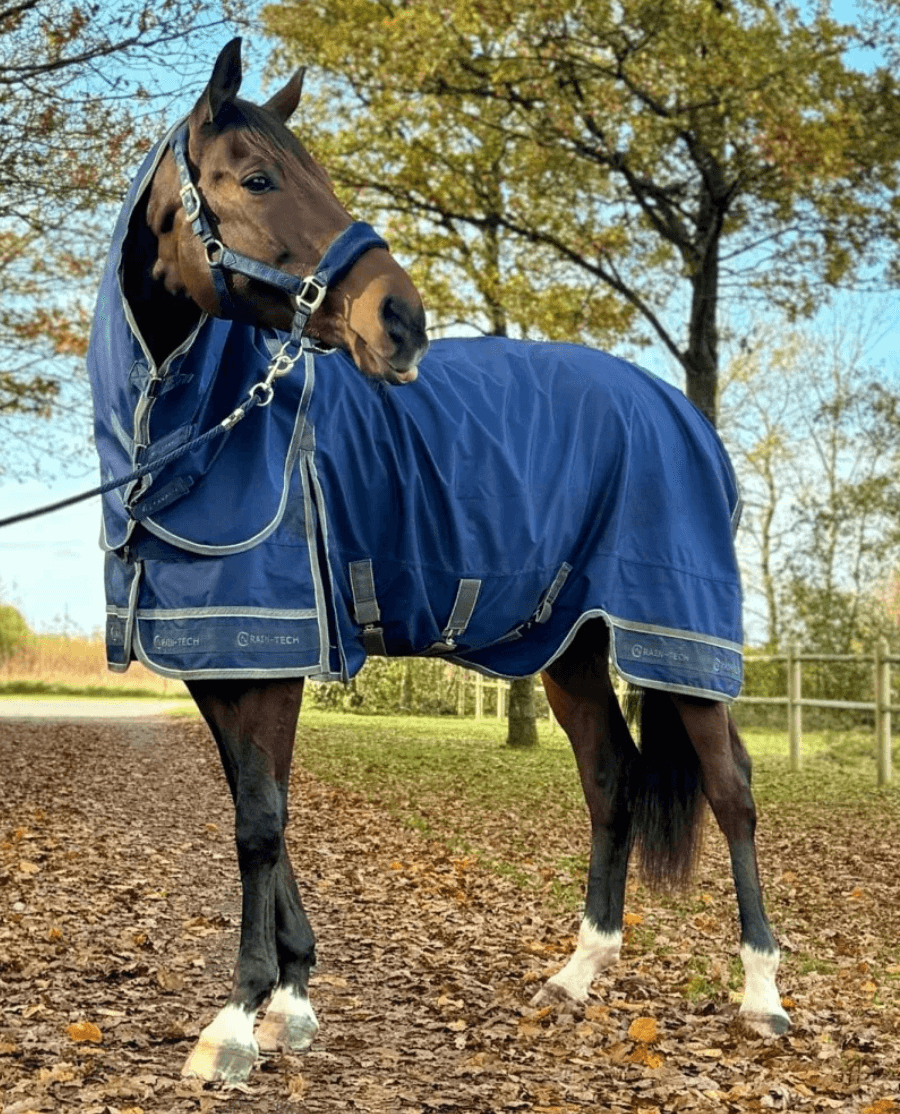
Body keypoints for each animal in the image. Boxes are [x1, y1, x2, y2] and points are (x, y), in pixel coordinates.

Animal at [86, 38, 790, 1085]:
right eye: (257, 179)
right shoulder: (224, 657)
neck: (194, 438)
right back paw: (576, 976)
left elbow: (260, 824)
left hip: (679, 642)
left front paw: (237, 1024)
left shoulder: (275, 651)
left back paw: (762, 997)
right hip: (575, 646)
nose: (401, 320)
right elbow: (263, 808)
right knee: (612, 780)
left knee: (732, 790)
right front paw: (292, 1003)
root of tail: (682, 411)